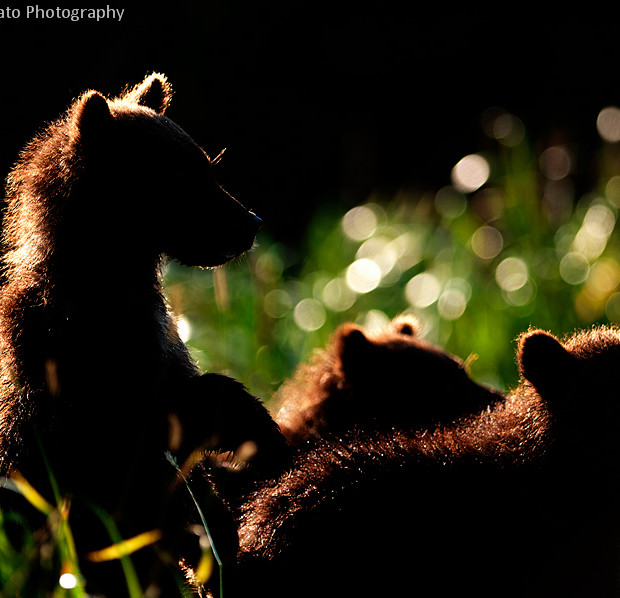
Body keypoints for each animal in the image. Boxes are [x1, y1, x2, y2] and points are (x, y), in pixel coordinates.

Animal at [0, 72, 286, 596]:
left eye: (209, 165)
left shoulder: (158, 343)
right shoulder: (79, 370)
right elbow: (147, 434)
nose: (251, 222)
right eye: (180, 176)